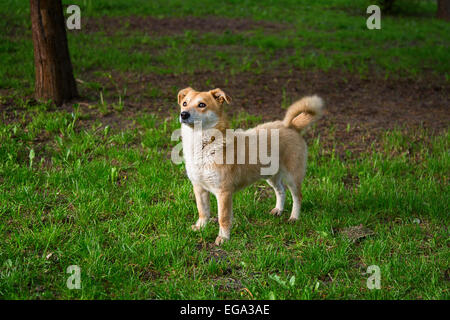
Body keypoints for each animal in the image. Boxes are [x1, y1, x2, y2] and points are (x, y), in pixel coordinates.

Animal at [178, 87, 324, 245]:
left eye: (202, 105)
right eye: (184, 103)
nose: (183, 114)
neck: (205, 146)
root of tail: (292, 126)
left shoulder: (223, 192)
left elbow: (223, 218)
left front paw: (224, 238)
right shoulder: (199, 188)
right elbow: (203, 211)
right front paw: (200, 227)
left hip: (293, 176)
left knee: (298, 197)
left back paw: (294, 217)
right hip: (271, 176)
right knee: (281, 190)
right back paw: (278, 210)